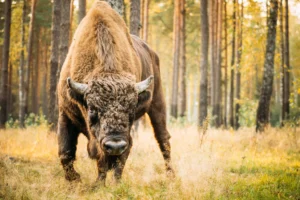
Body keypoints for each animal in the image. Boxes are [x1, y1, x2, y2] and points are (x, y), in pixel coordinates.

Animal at [56, 1, 173, 183]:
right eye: (92, 110)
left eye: (131, 110)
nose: (115, 144)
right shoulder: (65, 113)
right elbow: (65, 152)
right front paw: (75, 180)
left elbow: (108, 160)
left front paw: (101, 184)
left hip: (157, 103)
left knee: (162, 139)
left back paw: (170, 176)